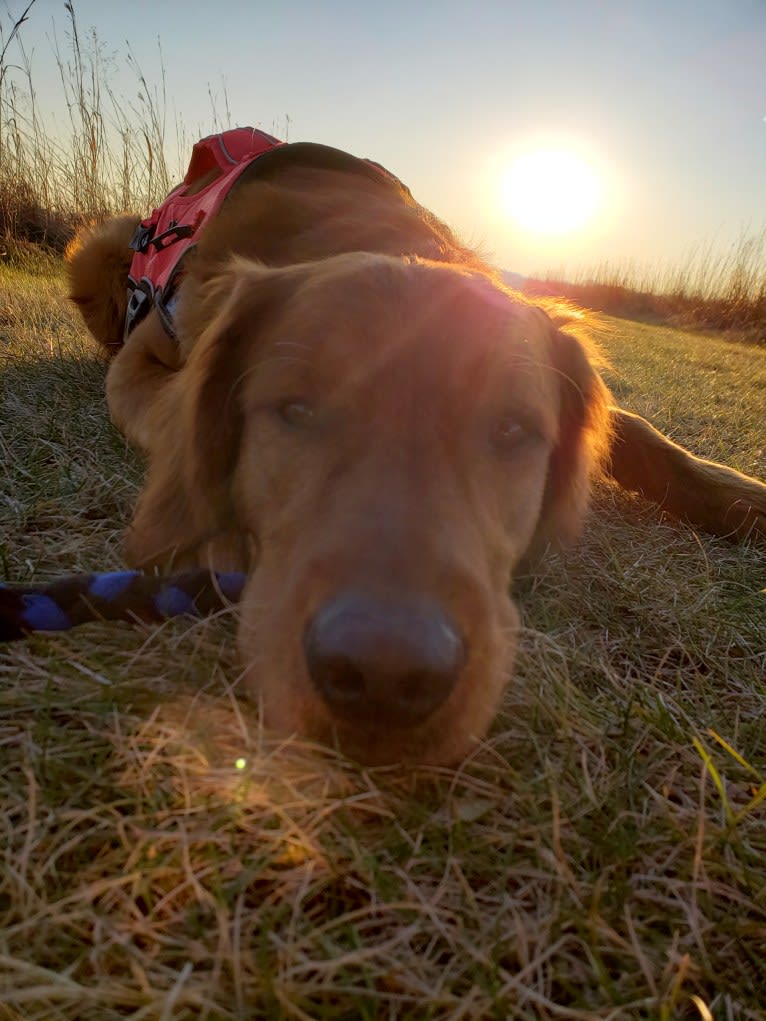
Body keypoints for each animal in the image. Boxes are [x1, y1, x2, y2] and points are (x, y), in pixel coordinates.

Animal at [67, 129, 766, 767]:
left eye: (512, 429)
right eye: (296, 409)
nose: (384, 676)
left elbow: (641, 432)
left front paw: (741, 496)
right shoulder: (143, 355)